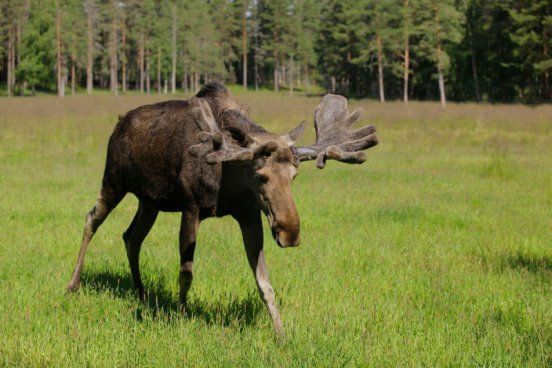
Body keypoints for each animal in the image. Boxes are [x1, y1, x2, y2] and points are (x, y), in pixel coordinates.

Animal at [63, 82, 376, 334]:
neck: (230, 178)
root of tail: (118, 124)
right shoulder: (191, 208)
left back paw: (141, 293)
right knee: (92, 219)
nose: (290, 233)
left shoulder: (249, 215)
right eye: (260, 175)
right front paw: (181, 317)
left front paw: (281, 333)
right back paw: (73, 284)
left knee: (131, 237)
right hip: (114, 179)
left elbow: (265, 283)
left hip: (149, 200)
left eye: (294, 176)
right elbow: (186, 273)